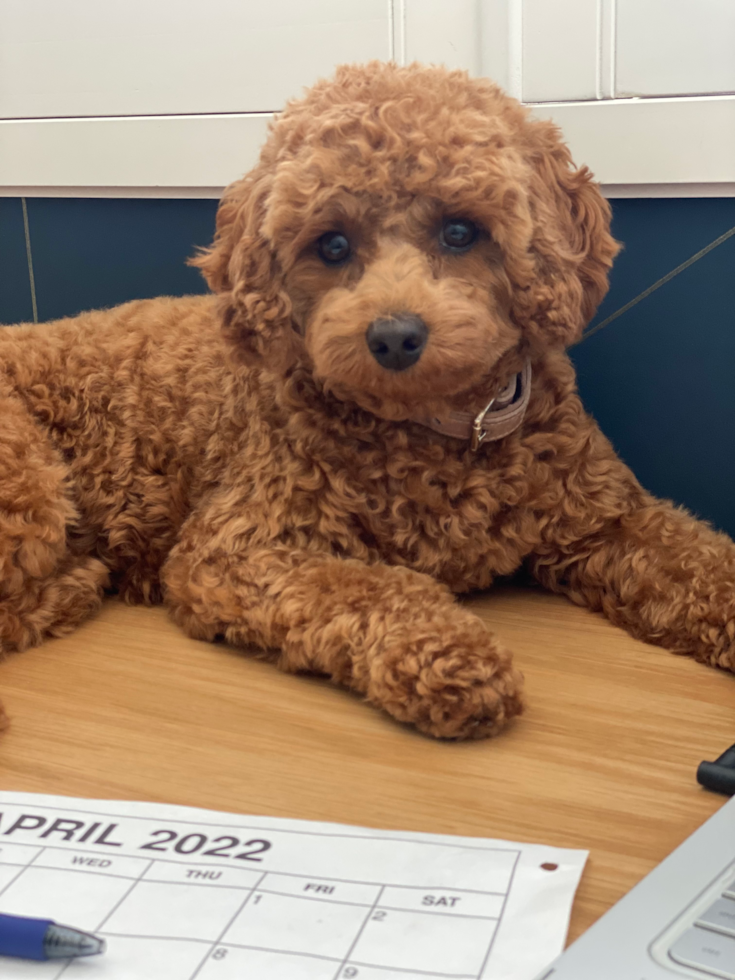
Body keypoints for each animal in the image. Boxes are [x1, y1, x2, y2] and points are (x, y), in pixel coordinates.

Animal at [1, 63, 735, 736]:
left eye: (460, 232)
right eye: (331, 244)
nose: (393, 336)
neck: (439, 432)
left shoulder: (606, 519)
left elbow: (698, 559)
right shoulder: (235, 550)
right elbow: (368, 586)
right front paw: (450, 655)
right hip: (30, 486)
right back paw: (80, 583)